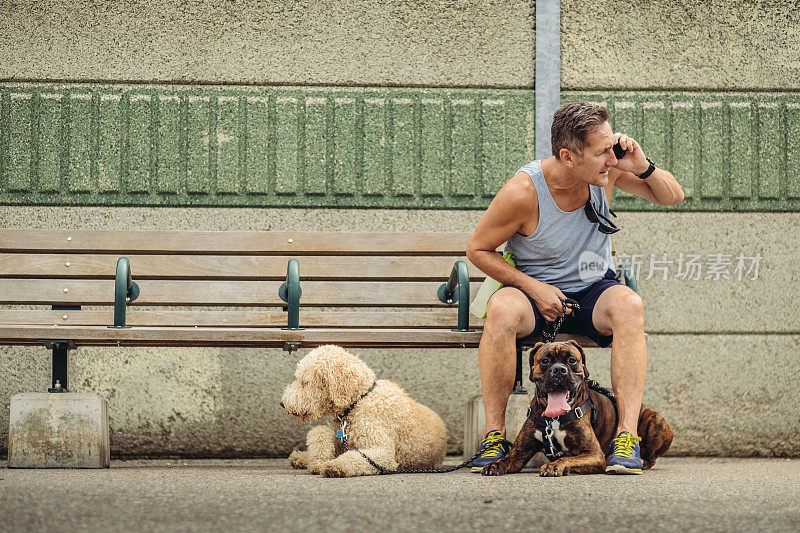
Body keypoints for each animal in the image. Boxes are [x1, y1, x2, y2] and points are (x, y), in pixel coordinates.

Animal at [484, 340, 672, 478]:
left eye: (572, 360)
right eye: (545, 361)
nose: (559, 370)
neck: (554, 419)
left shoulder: (594, 454)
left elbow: (568, 459)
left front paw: (554, 466)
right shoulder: (520, 451)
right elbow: (508, 458)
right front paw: (494, 464)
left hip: (656, 421)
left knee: (651, 458)